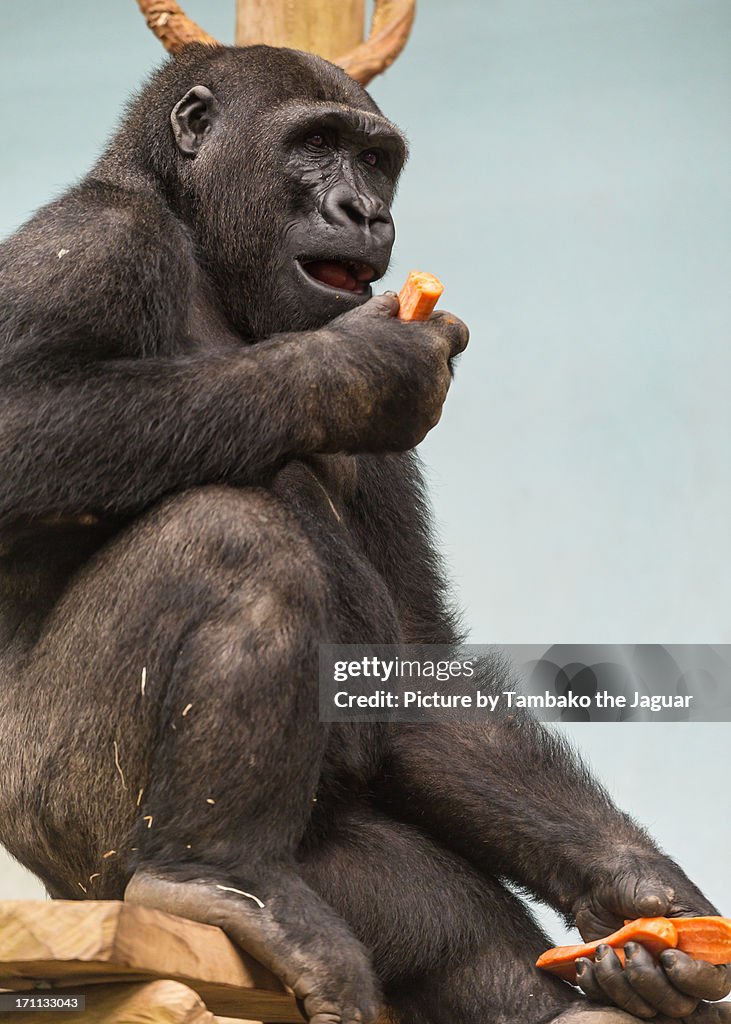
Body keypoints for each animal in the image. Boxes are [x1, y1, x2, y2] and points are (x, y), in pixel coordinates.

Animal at [0, 44, 724, 1024]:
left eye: (375, 161)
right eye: (315, 145)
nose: (365, 211)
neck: (195, 236)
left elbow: (412, 655)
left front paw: (644, 898)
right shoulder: (87, 247)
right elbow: (21, 427)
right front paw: (352, 371)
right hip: (74, 840)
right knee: (231, 534)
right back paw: (213, 871)